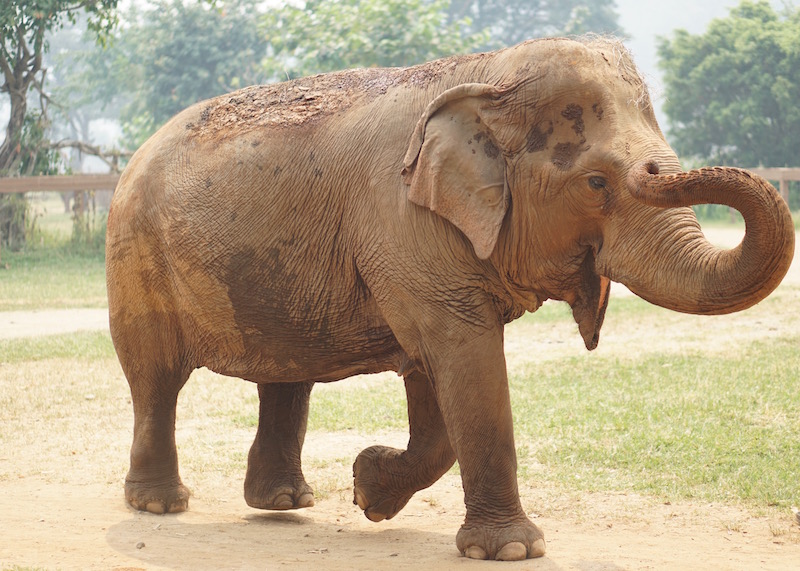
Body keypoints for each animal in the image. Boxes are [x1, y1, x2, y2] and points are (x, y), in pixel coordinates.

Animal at [104, 36, 792, 564]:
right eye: (596, 182)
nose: (656, 172)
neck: (486, 74)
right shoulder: (402, 224)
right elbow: (461, 358)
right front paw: (511, 551)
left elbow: (433, 376)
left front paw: (368, 488)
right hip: (135, 250)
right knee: (156, 378)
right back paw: (160, 504)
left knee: (287, 374)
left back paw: (284, 505)